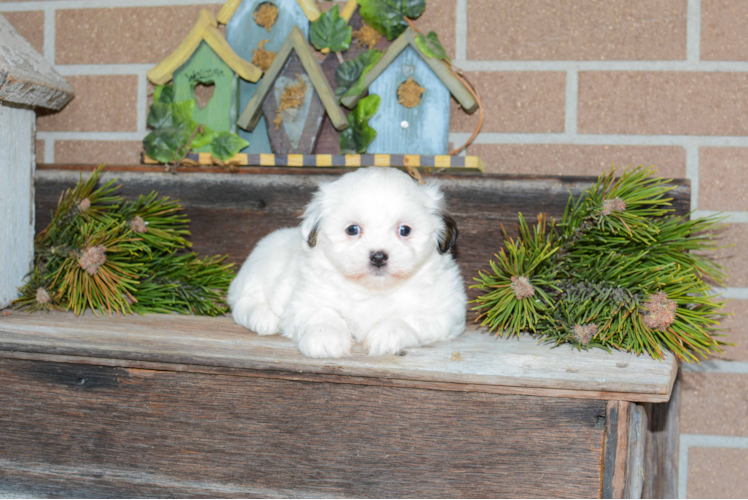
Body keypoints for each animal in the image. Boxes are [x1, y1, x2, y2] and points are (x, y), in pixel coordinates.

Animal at [225, 166, 464, 358]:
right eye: (353, 229)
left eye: (404, 230)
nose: (378, 256)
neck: (372, 290)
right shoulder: (303, 301)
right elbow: (321, 312)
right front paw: (324, 337)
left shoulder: (445, 313)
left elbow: (408, 319)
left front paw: (387, 335)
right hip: (255, 274)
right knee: (243, 303)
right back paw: (263, 318)